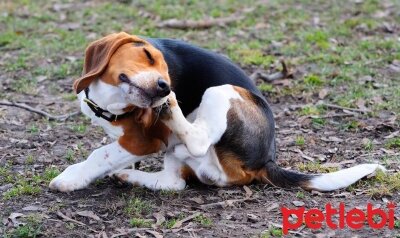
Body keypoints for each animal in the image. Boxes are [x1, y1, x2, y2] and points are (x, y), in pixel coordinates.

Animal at [50, 32, 384, 192]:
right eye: (146, 54)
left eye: (168, 74)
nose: (164, 87)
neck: (109, 101)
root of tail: (265, 160)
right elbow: (112, 153)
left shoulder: (143, 141)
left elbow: (100, 154)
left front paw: (71, 178)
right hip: (178, 154)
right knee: (173, 183)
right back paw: (129, 176)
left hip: (220, 91)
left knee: (197, 142)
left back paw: (172, 111)